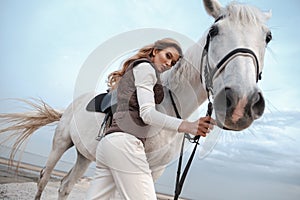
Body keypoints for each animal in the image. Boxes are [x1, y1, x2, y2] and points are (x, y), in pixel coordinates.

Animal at [0, 0, 272, 199]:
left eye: (267, 38)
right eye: (215, 31)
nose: (240, 103)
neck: (169, 108)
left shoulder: (155, 171)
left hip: (84, 155)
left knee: (66, 185)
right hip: (60, 144)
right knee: (44, 178)